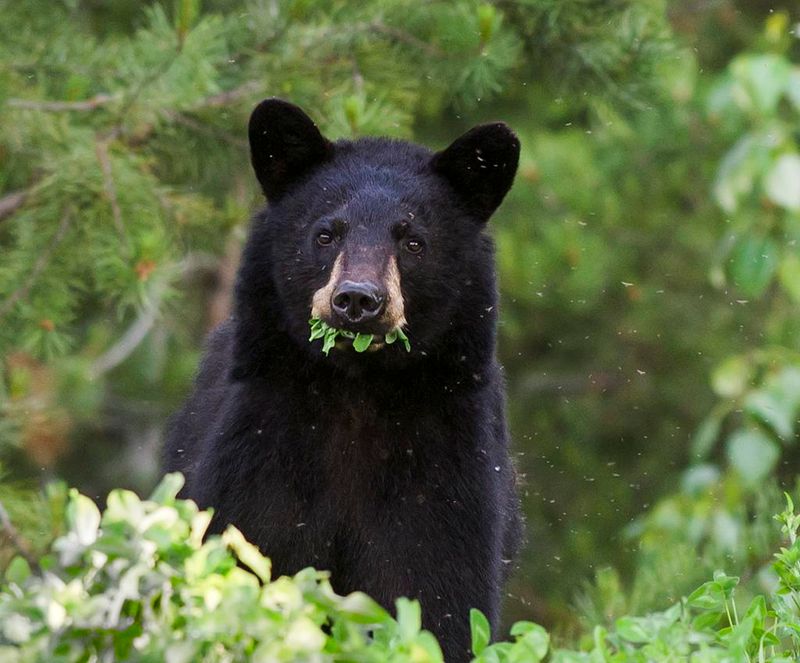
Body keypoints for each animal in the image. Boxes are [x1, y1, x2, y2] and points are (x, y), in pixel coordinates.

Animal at [163, 98, 522, 662]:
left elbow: (436, 593)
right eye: (325, 233)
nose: (357, 299)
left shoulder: (444, 465)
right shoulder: (263, 444)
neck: (358, 390)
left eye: (413, 241)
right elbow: (246, 551)